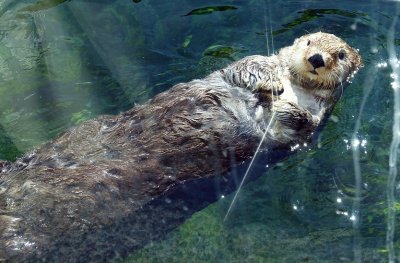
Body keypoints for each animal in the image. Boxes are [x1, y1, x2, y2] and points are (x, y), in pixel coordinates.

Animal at [0, 32, 360, 262]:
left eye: (340, 54)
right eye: (310, 42)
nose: (317, 59)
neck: (296, 87)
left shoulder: (309, 125)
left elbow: (298, 126)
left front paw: (289, 109)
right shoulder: (240, 67)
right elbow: (246, 67)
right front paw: (269, 82)